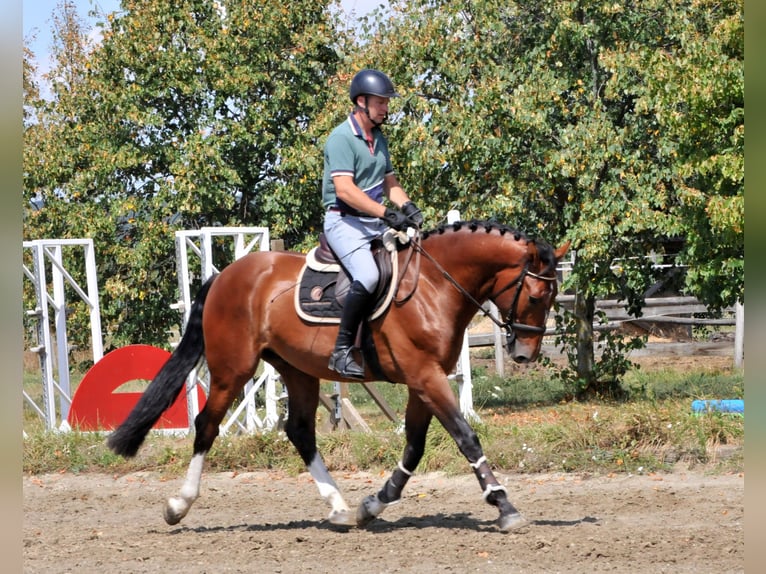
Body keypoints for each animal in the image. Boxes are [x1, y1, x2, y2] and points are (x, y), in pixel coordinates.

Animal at [106, 219, 568, 532]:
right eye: (536, 295)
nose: (524, 354)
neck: (434, 285)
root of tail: (226, 275)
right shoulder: (426, 377)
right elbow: (465, 436)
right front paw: (504, 505)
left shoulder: (423, 381)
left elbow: (414, 447)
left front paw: (374, 504)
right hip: (232, 369)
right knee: (206, 424)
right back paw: (179, 505)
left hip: (297, 371)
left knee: (300, 431)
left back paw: (339, 506)